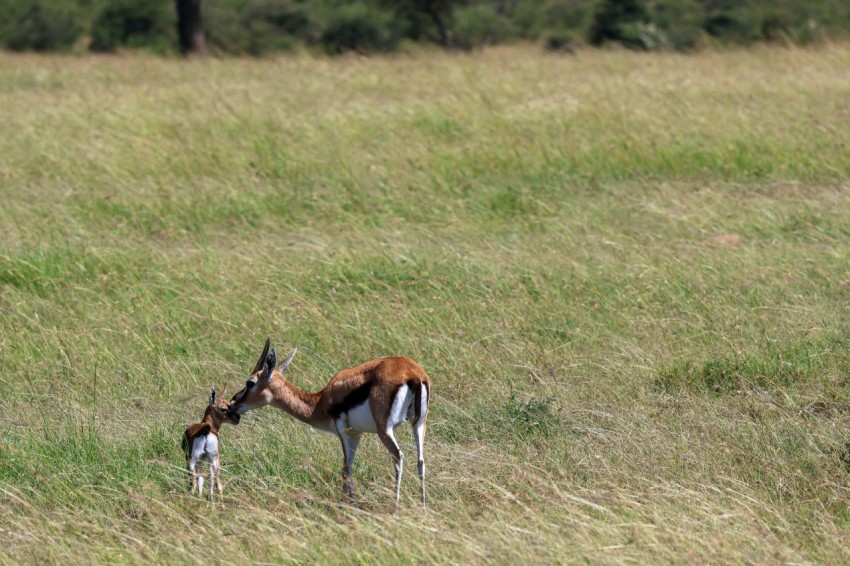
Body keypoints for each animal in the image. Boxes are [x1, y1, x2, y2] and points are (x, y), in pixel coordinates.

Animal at [227, 339, 430, 512]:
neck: (321, 400)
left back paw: (395, 511)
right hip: (419, 424)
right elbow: (347, 466)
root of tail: (412, 373)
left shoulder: (341, 428)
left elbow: (346, 468)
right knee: (420, 461)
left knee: (398, 456)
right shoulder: (356, 433)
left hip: (385, 430)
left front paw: (349, 507)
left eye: (250, 382)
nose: (232, 404)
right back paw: (422, 509)